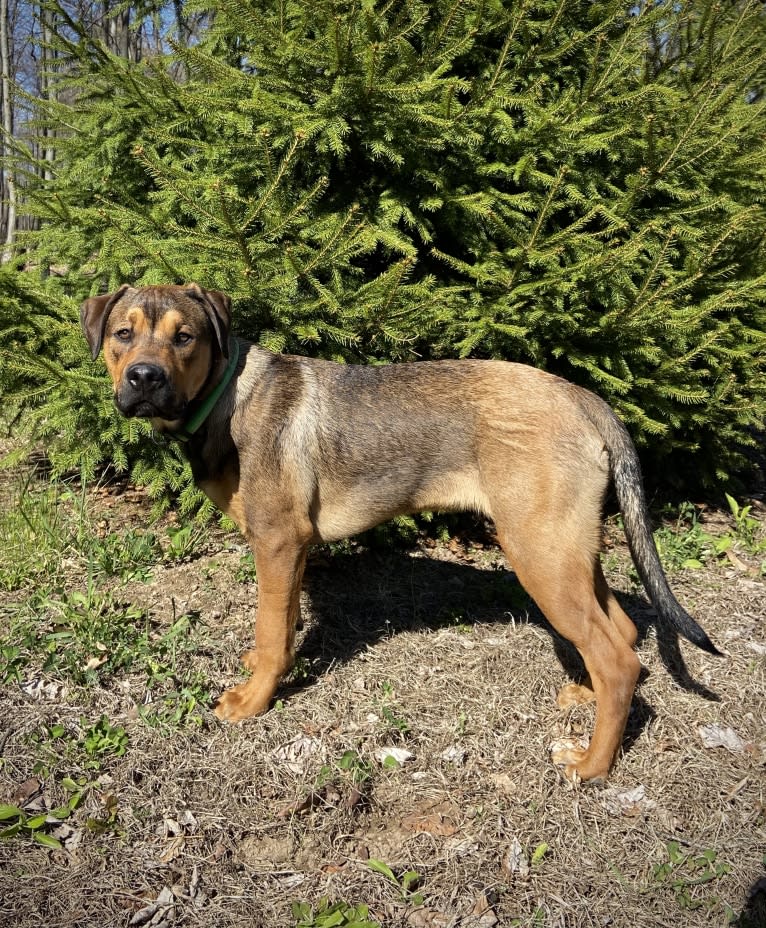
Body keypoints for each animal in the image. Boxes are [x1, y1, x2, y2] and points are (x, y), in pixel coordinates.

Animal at [79, 282, 720, 784]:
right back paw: (585, 696)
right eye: (122, 333)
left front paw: (253, 701)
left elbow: (270, 631)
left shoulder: (278, 540)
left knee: (619, 659)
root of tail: (585, 397)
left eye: (185, 337)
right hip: (568, 548)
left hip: (539, 553)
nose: (143, 378)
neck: (225, 398)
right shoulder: (292, 550)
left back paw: (591, 765)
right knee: (623, 633)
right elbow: (283, 625)